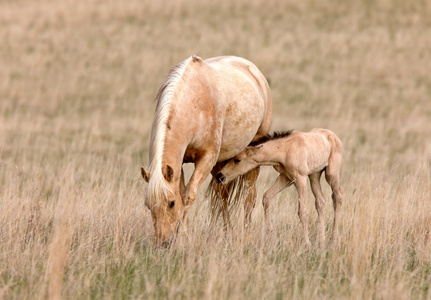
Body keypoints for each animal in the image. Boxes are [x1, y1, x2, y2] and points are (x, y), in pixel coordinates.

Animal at [142, 55, 272, 244]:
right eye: (148, 205)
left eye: (171, 203)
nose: (164, 242)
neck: (194, 104)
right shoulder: (180, 163)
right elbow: (184, 192)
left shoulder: (206, 159)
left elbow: (187, 195)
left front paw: (183, 236)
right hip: (220, 166)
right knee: (222, 197)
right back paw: (228, 232)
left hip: (251, 160)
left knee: (249, 196)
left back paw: (246, 234)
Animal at [216, 128, 344, 244]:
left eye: (237, 160)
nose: (220, 176)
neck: (286, 149)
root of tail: (333, 136)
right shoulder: (286, 178)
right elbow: (266, 197)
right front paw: (271, 235)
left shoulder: (300, 179)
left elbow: (302, 212)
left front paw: (306, 243)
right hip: (314, 176)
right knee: (320, 202)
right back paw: (321, 240)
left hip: (331, 174)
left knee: (337, 197)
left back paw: (333, 238)